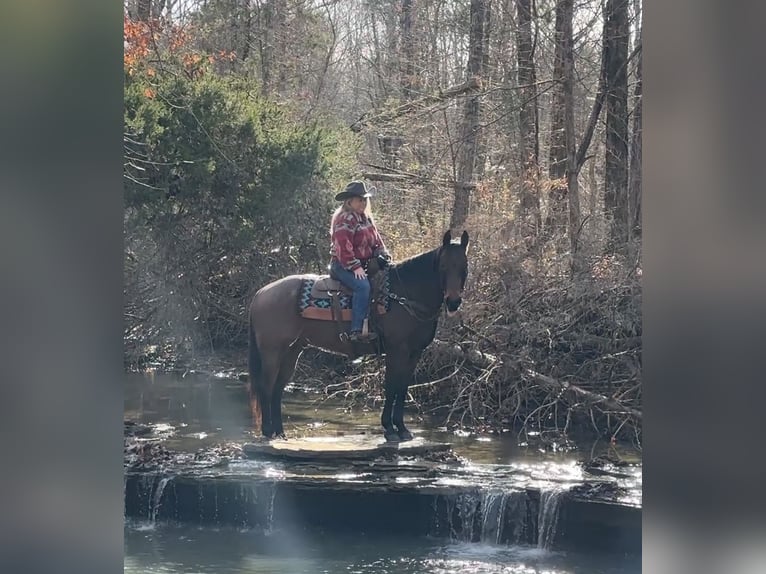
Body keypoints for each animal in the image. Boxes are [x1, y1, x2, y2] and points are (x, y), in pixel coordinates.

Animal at [247, 229, 469, 442]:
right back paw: (268, 431)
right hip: (272, 351)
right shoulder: (396, 350)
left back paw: (280, 433)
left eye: (464, 266)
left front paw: (402, 429)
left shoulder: (414, 353)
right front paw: (390, 429)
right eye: (443, 266)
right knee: (267, 387)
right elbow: (391, 387)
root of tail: (261, 293)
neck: (404, 296)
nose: (453, 302)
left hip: (292, 351)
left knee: (278, 388)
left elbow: (403, 388)